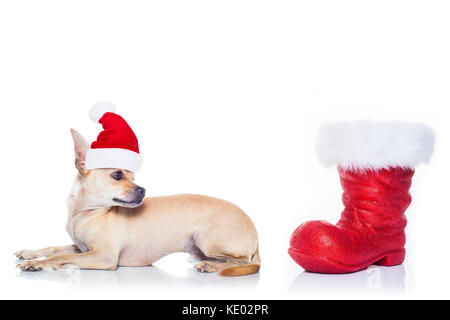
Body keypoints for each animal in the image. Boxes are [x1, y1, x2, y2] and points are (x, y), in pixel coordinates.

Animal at [14, 129, 260, 276]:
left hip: (206, 239)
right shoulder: (80, 247)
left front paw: (38, 263)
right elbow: (55, 247)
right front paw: (30, 253)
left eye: (133, 178)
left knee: (240, 262)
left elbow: (61, 256)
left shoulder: (103, 256)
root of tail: (256, 233)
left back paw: (210, 265)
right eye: (118, 175)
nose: (143, 190)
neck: (84, 214)